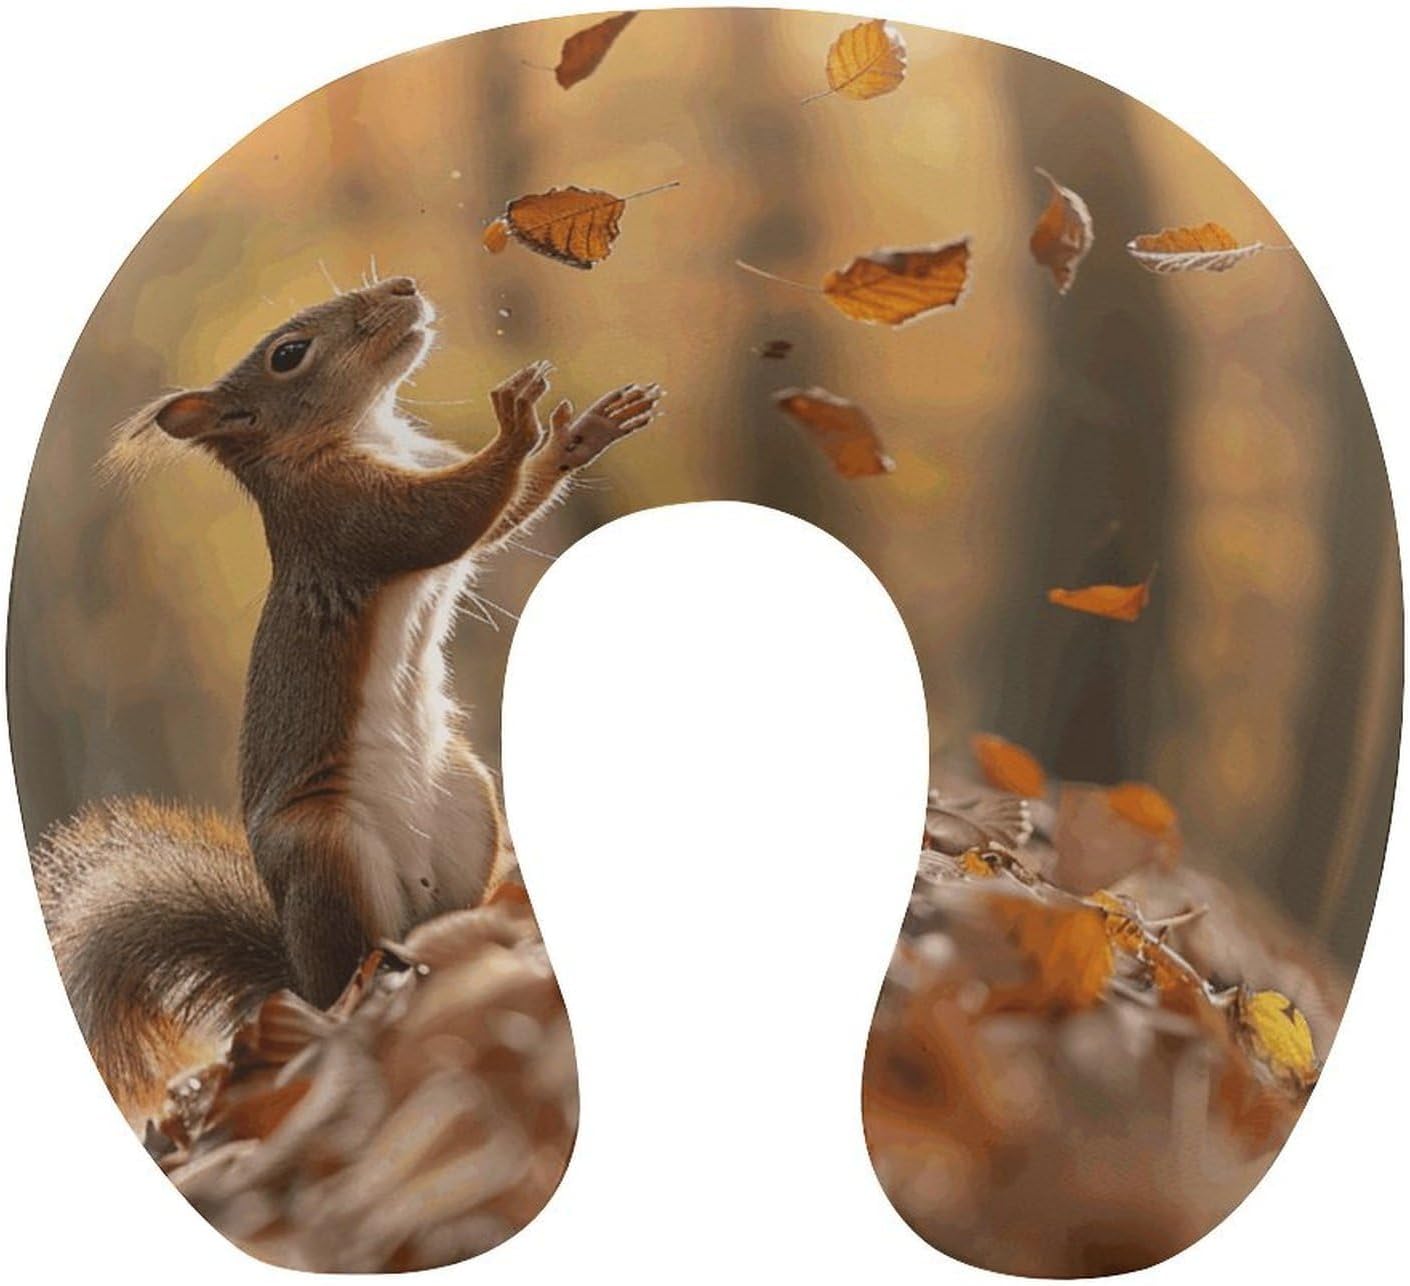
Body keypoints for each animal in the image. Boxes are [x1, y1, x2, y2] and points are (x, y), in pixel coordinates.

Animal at [31, 275, 663, 1118]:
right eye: (288, 354)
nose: (403, 285)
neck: (368, 430)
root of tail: (299, 980)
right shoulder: (346, 517)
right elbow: (447, 521)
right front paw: (515, 421)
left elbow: (498, 514)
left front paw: (581, 434)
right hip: (326, 850)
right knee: (350, 967)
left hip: (466, 798)